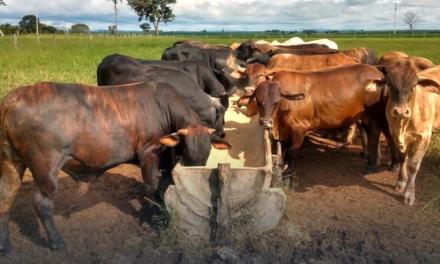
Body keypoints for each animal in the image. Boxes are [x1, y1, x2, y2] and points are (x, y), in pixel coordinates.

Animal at [0, 81, 230, 254]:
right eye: (188, 153)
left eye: (206, 154)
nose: (195, 173)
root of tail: (12, 99)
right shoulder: (149, 151)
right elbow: (152, 187)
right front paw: (153, 217)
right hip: (46, 165)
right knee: (42, 204)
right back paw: (57, 242)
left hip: (11, 161)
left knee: (6, 197)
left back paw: (5, 246)